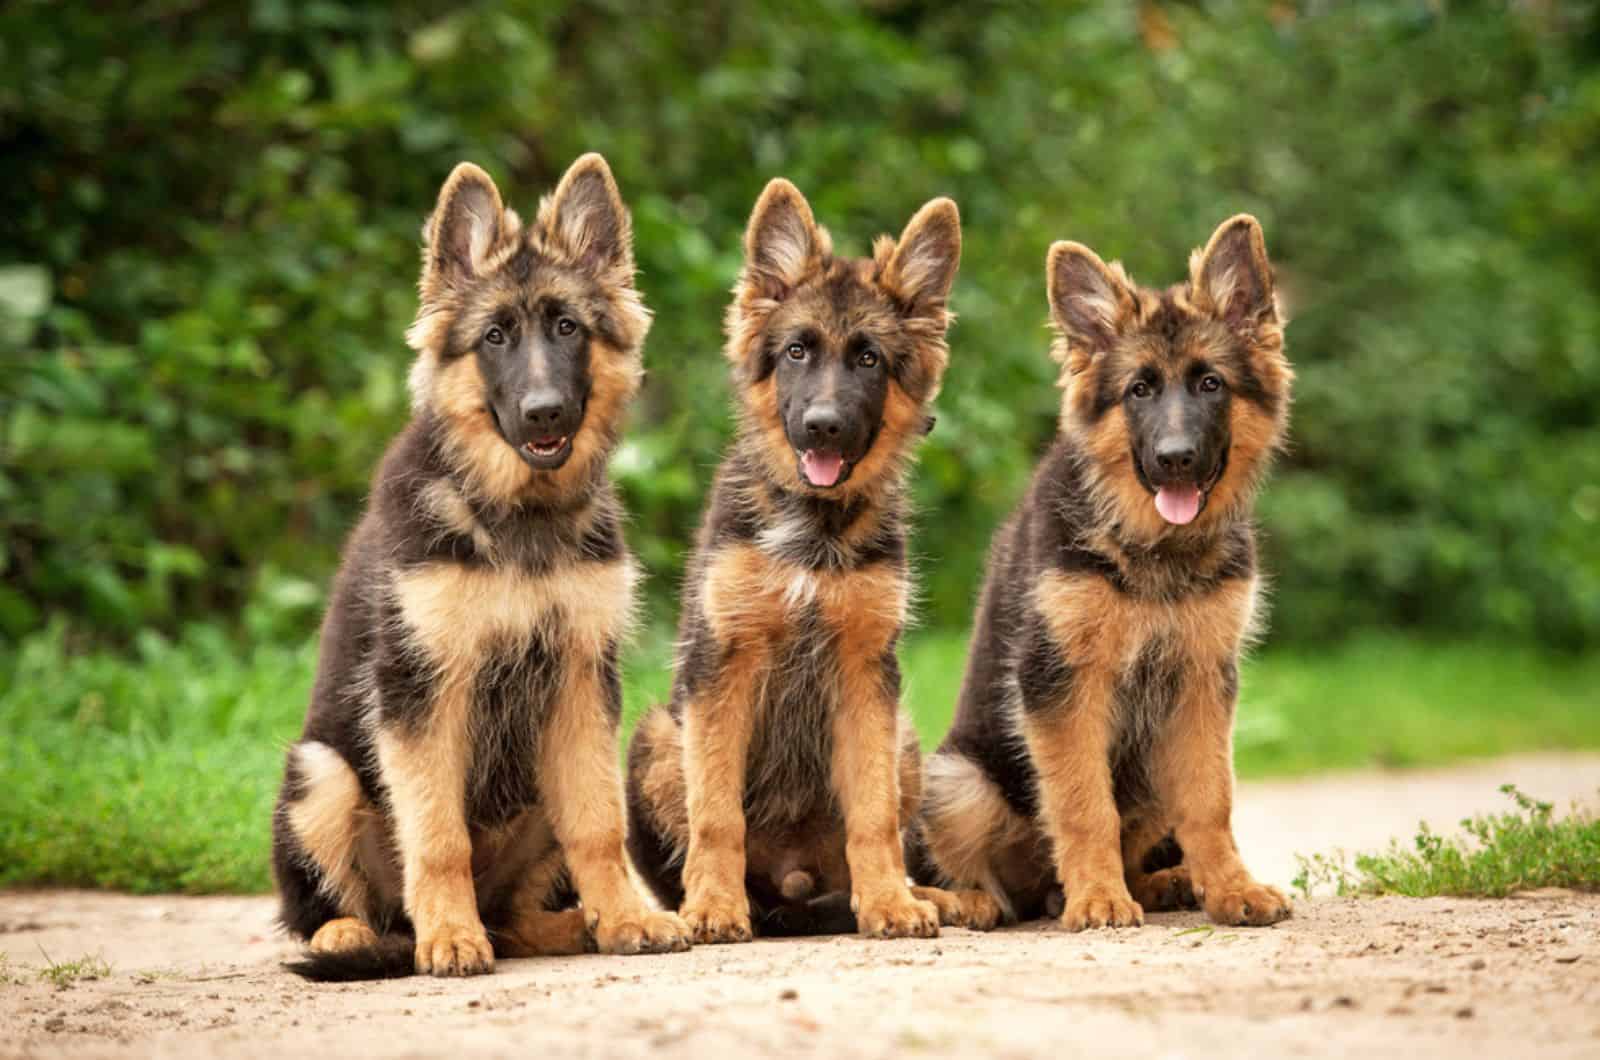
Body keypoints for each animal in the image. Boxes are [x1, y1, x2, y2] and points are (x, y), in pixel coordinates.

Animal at [270, 153, 694, 986]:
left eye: (567, 327)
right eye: (494, 336)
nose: (545, 413)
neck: (518, 515)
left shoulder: (580, 681)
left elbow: (599, 822)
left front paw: (624, 917)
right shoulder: (422, 688)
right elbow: (438, 837)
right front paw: (448, 938)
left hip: (533, 797)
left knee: (516, 917)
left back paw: (566, 926)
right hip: (319, 773)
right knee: (331, 909)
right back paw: (361, 934)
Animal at [624, 178, 998, 941]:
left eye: (868, 359)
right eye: (797, 351)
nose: (823, 427)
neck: (814, 534)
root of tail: (794, 885)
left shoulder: (865, 673)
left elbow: (873, 816)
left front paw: (889, 903)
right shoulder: (724, 667)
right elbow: (716, 814)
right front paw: (714, 905)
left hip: (903, 736)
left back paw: (929, 895)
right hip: (656, 736)